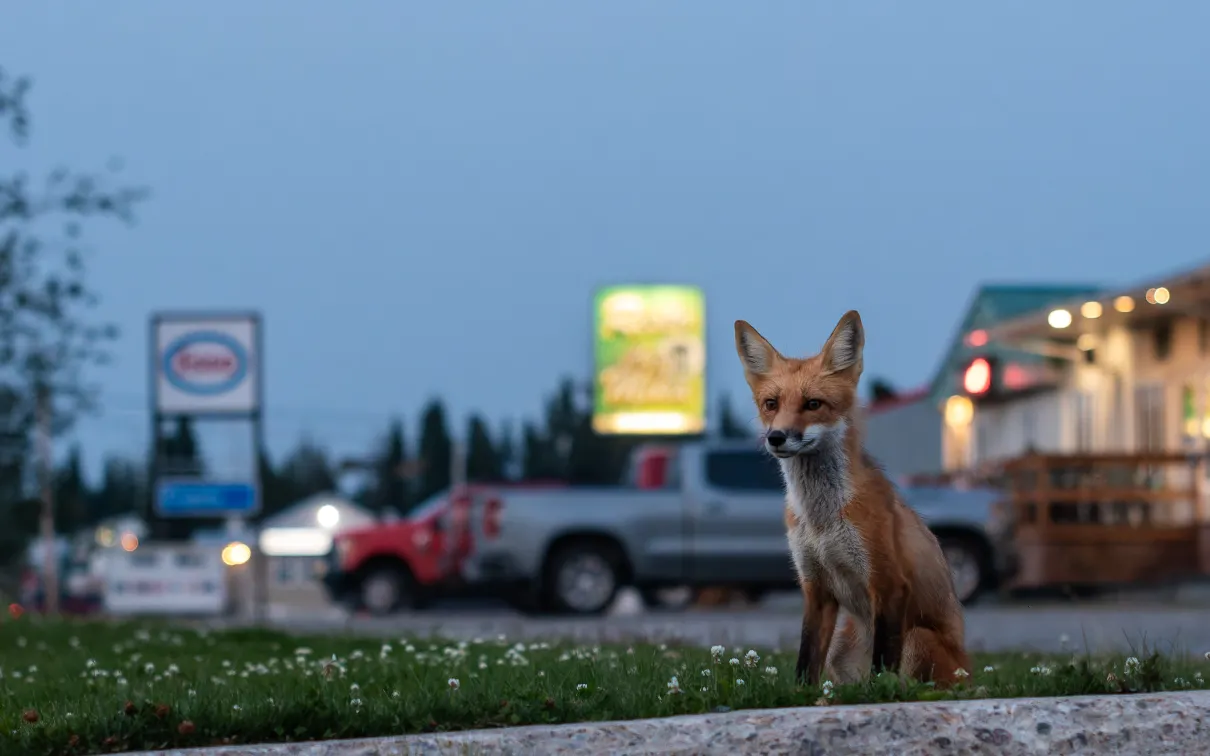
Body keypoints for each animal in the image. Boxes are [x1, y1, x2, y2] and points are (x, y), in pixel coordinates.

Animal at [730, 309, 968, 687]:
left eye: (813, 404)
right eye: (771, 404)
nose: (776, 437)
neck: (822, 520)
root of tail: (971, 672)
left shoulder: (888, 584)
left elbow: (881, 670)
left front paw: (875, 696)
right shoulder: (815, 587)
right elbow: (805, 661)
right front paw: (804, 697)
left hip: (918, 638)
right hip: (840, 651)